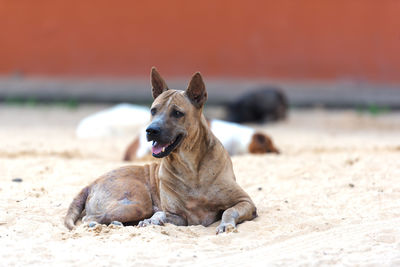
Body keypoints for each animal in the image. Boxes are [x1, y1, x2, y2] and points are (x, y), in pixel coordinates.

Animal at [62, 67, 256, 234]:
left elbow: (228, 211)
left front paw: (226, 225)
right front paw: (153, 220)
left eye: (177, 113)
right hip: (137, 203)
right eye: (153, 110)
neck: (191, 168)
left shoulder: (245, 201)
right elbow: (163, 215)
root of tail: (91, 184)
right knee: (90, 218)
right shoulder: (177, 216)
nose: (150, 130)